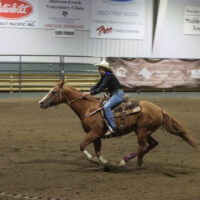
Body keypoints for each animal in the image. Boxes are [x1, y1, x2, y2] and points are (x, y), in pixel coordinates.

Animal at [38, 79, 198, 169]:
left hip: (142, 131)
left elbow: (82, 146)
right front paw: (104, 163)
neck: (89, 108)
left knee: (144, 146)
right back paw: (139, 160)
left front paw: (94, 161)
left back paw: (123, 161)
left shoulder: (94, 133)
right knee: (152, 144)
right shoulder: (96, 135)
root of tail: (159, 109)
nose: (41, 103)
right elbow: (98, 151)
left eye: (53, 92)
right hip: (143, 131)